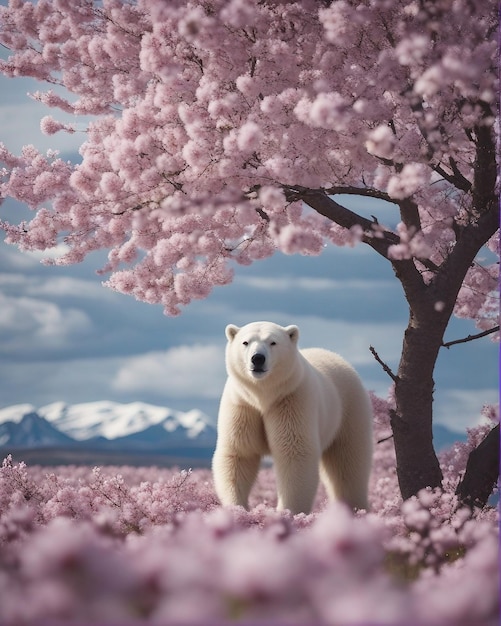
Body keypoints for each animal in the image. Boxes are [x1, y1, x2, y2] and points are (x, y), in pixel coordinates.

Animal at [211, 322, 372, 512]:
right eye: (245, 342)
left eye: (273, 342)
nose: (257, 358)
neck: (263, 396)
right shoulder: (243, 405)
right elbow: (240, 453)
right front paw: (237, 507)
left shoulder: (291, 400)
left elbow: (294, 453)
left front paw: (287, 512)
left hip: (349, 410)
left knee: (348, 463)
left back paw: (356, 508)